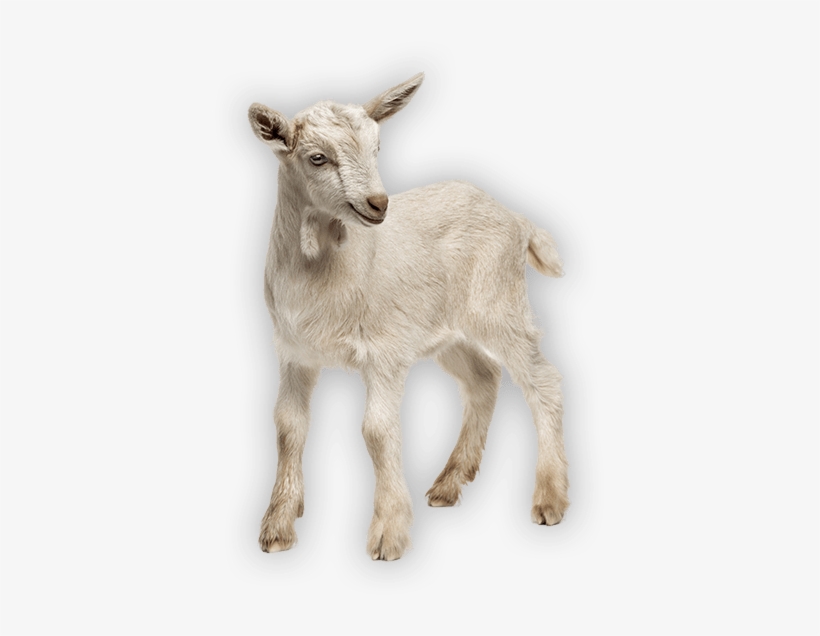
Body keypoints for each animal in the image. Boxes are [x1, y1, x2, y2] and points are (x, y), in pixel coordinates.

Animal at [247, 73, 569, 561]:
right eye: (317, 158)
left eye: (377, 148)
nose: (378, 203)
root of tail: (516, 218)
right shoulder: (293, 352)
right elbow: (288, 426)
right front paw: (279, 525)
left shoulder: (384, 351)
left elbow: (377, 431)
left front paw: (388, 534)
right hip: (447, 330)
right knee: (483, 377)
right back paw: (450, 482)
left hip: (499, 305)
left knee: (542, 381)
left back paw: (550, 498)